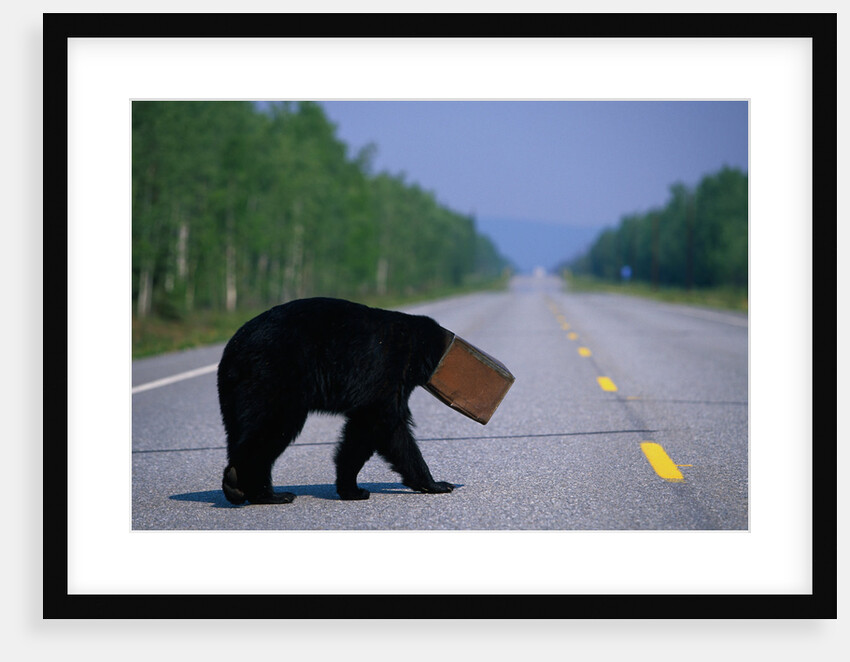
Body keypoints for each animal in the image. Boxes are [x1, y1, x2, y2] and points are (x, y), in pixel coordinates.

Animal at [217, 297, 456, 504]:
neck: (412, 346)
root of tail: (234, 347)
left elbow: (377, 431)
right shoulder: (385, 370)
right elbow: (378, 423)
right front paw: (354, 489)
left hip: (233, 393)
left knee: (241, 431)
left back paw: (238, 486)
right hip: (273, 376)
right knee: (273, 427)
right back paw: (264, 492)